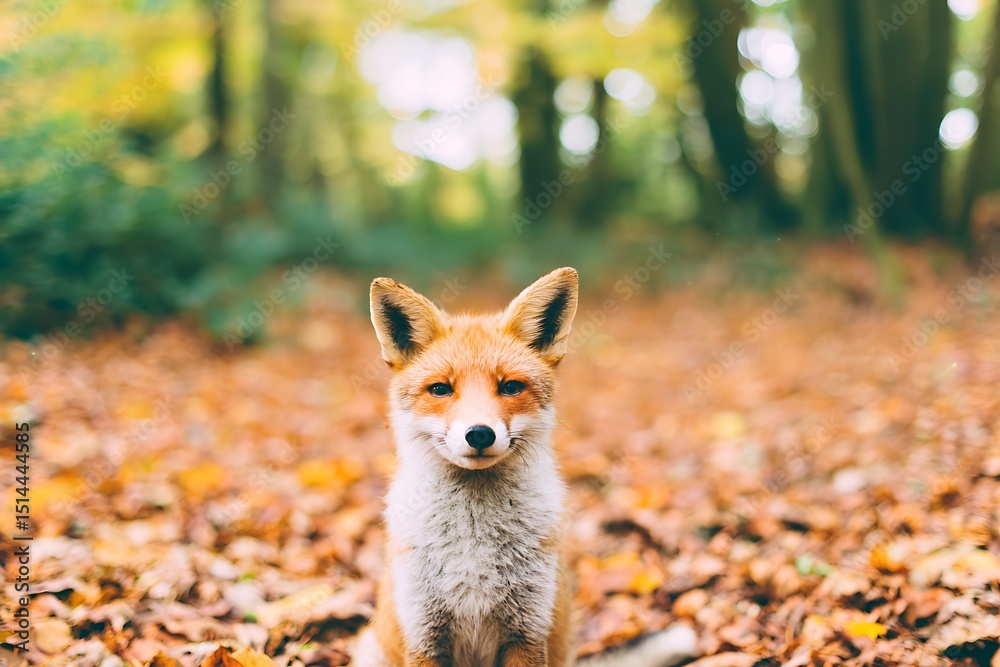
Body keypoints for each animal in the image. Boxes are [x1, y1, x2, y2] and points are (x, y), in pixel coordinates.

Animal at [352, 267, 697, 667]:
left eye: (511, 387)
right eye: (440, 389)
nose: (480, 433)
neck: (474, 545)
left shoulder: (527, 632)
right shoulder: (424, 636)